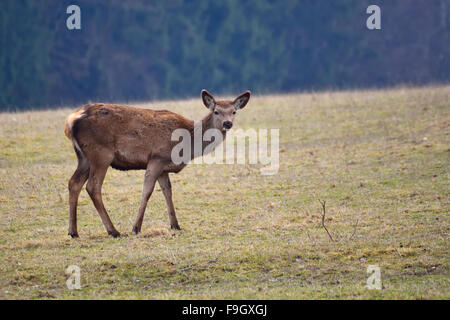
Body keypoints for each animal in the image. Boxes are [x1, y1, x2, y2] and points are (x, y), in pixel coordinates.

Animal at [65, 90, 251, 238]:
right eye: (216, 111)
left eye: (234, 111)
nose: (228, 123)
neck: (188, 143)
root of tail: (71, 121)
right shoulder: (157, 157)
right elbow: (147, 190)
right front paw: (136, 227)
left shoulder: (164, 165)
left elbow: (167, 191)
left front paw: (175, 224)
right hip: (101, 154)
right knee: (93, 186)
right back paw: (113, 231)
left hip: (84, 157)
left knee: (74, 183)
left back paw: (73, 231)